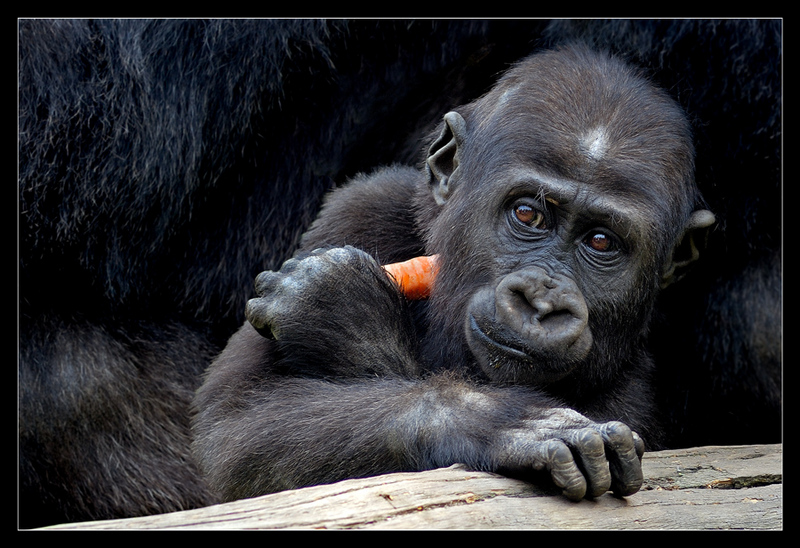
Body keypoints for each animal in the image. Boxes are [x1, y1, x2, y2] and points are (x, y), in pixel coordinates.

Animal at [192, 45, 712, 504]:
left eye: (601, 242)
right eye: (528, 214)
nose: (541, 302)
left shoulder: (636, 394)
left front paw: (340, 311)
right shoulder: (362, 206)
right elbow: (240, 421)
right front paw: (501, 422)